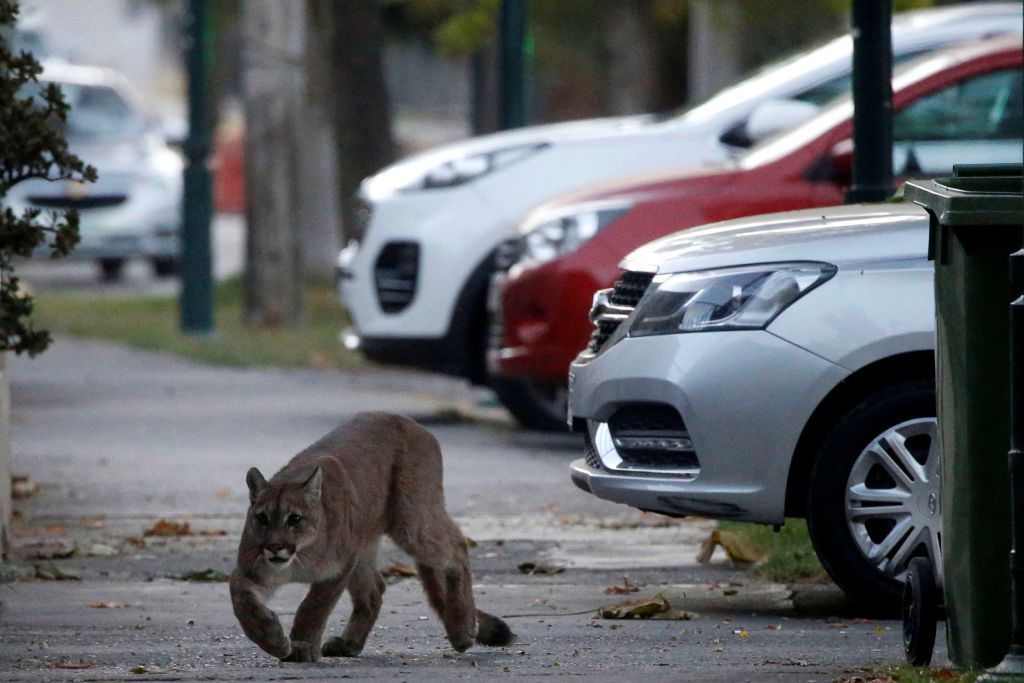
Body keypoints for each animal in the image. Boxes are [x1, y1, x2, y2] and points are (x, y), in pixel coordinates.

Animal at [229, 411, 516, 663]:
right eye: (262, 518)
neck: (300, 556)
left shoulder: (339, 568)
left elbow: (314, 606)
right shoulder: (249, 570)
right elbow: (242, 603)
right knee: (375, 589)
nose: (275, 546)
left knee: (457, 546)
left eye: (294, 519)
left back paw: (462, 629)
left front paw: (301, 646)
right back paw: (348, 645)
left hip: (412, 522)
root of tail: (408, 421)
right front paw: (273, 639)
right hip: (363, 543)